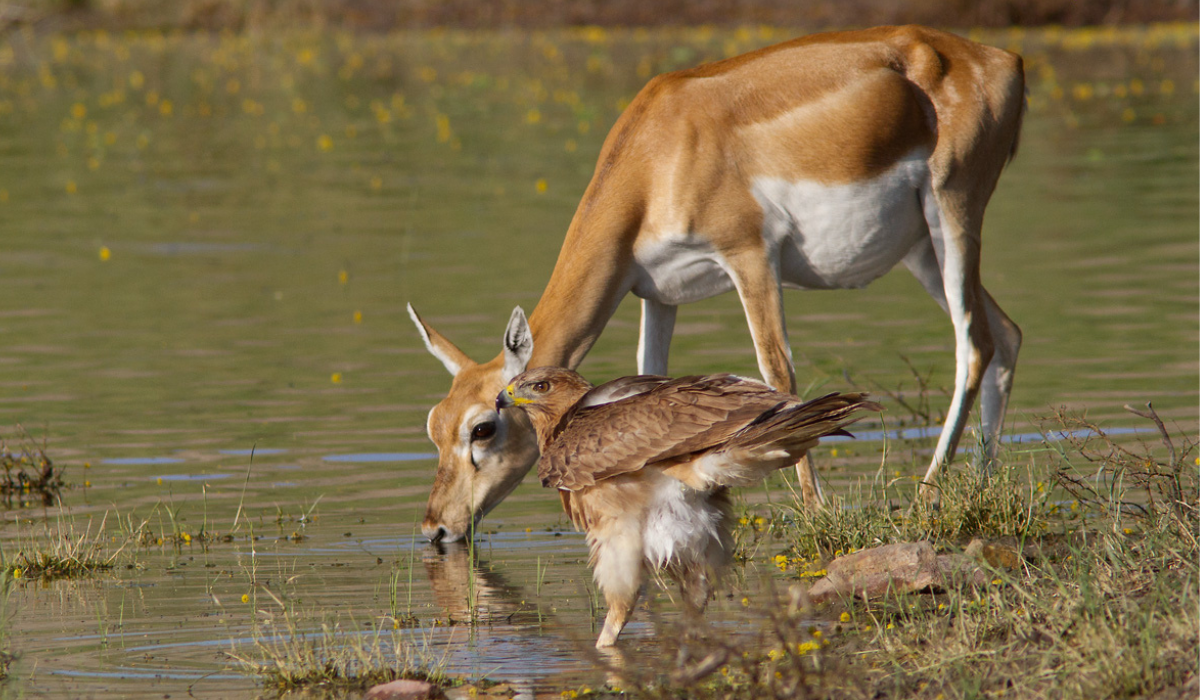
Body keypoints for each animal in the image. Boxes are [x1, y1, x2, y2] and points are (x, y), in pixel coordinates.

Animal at [410, 25, 1022, 542]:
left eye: (483, 428)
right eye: (434, 424)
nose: (435, 528)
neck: (657, 154)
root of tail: (1000, 59)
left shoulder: (748, 253)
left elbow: (779, 373)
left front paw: (816, 513)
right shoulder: (657, 293)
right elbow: (649, 382)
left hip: (952, 210)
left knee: (974, 343)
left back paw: (926, 499)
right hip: (920, 250)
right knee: (1007, 334)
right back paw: (983, 487)